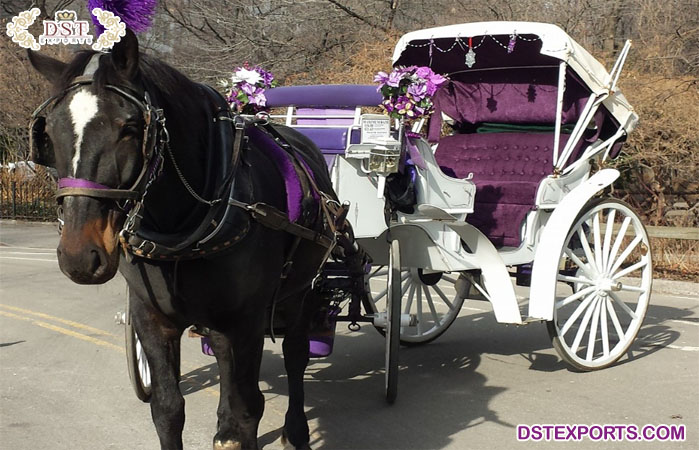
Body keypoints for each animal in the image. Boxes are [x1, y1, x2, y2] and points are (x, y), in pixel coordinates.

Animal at [29, 29, 348, 448]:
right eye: (48, 134)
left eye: (129, 128)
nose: (79, 256)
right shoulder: (152, 318)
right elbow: (168, 408)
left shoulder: (246, 321)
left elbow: (249, 407)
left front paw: (246, 428)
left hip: (300, 292)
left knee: (295, 357)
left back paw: (295, 431)